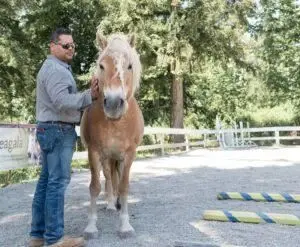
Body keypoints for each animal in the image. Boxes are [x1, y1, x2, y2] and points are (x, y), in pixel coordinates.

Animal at [81, 31, 144, 238]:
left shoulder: (129, 154)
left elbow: (124, 186)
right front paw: (91, 227)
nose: (114, 104)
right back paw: (110, 204)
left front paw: (125, 225)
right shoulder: (93, 152)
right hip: (107, 158)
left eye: (129, 65)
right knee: (109, 179)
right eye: (101, 65)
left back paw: (116, 204)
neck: (116, 123)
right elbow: (95, 187)